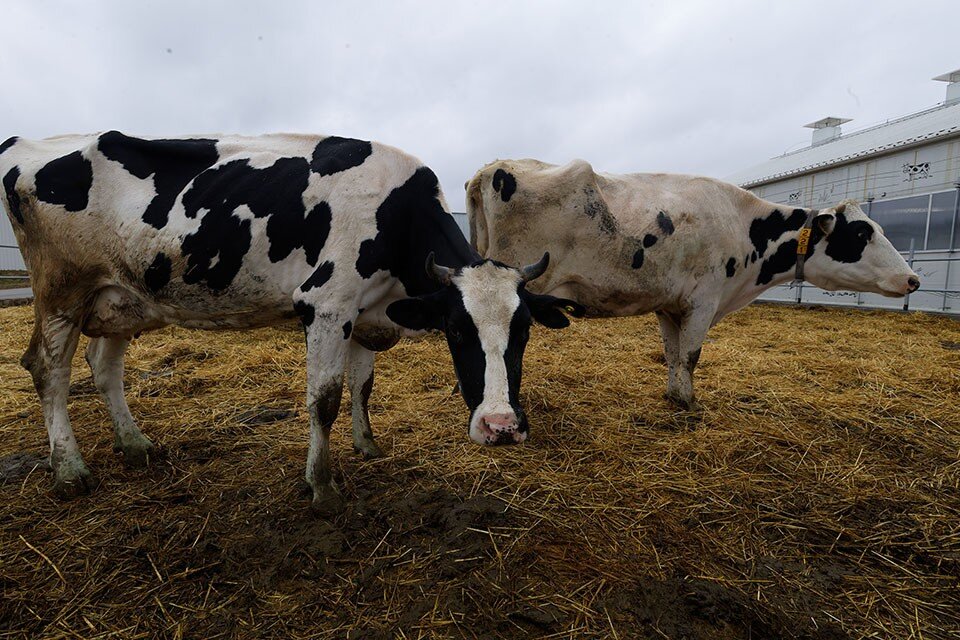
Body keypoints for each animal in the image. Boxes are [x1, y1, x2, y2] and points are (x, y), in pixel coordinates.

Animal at [0, 132, 580, 512]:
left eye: (524, 331)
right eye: (458, 331)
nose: (501, 427)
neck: (396, 216)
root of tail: (25, 141)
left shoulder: (364, 312)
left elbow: (361, 386)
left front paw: (367, 445)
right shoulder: (325, 304)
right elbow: (324, 399)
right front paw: (321, 487)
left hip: (120, 296)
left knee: (103, 367)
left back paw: (135, 445)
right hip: (61, 288)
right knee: (47, 368)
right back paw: (70, 470)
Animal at [468, 160, 920, 410]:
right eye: (862, 233)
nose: (912, 279)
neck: (742, 224)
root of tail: (493, 168)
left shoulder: (670, 305)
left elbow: (672, 355)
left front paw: (673, 395)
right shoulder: (703, 301)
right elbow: (691, 356)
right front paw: (688, 403)